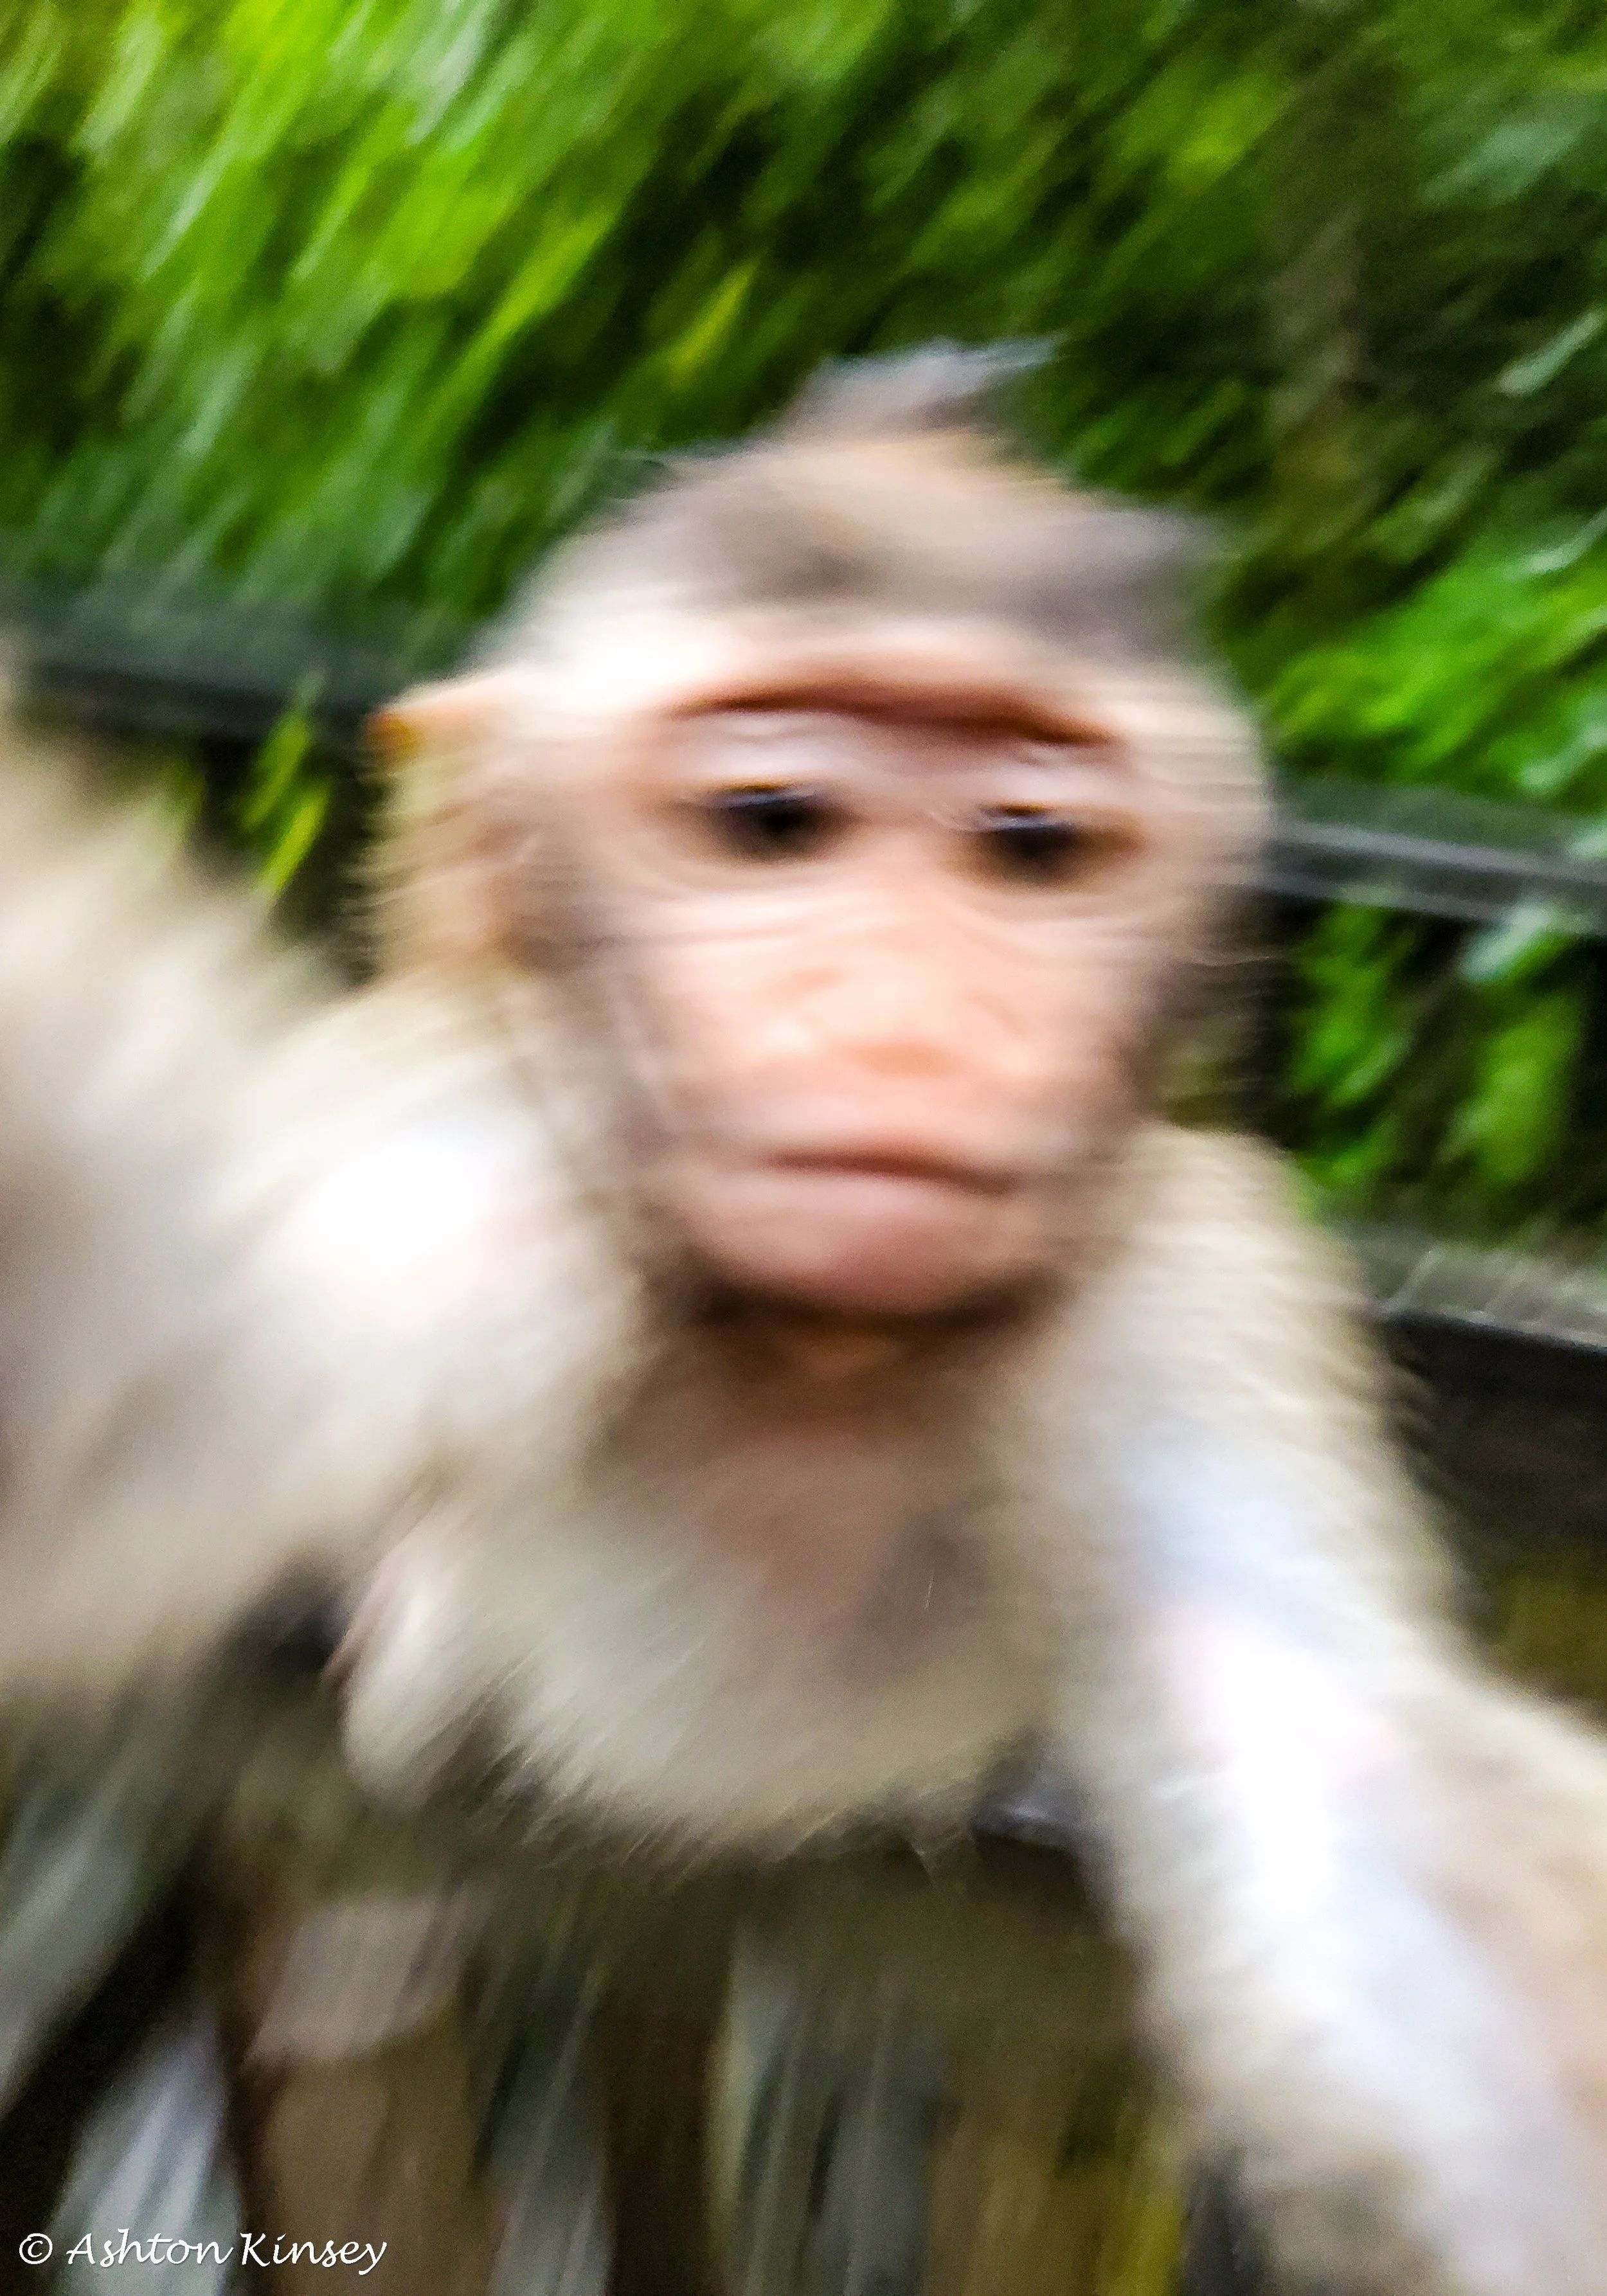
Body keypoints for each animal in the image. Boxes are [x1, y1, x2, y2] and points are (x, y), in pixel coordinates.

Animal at [3, 348, 1607, 2294]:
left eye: (1029, 845)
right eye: (773, 823)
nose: (902, 1023)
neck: (811, 1346)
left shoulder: (1184, 1285)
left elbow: (1364, 1813)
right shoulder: (478, 1157)